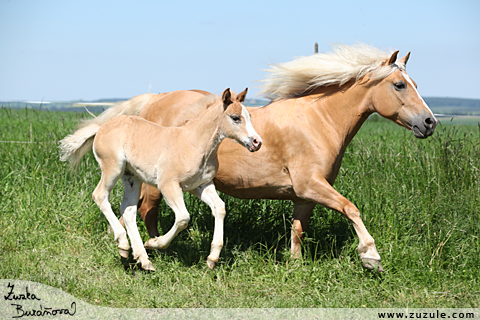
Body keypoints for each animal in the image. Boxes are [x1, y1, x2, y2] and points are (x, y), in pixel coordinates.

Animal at [61, 88, 262, 270]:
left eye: (250, 116)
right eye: (235, 118)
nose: (257, 142)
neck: (194, 143)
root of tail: (101, 127)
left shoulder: (201, 185)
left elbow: (219, 208)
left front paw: (212, 258)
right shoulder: (168, 185)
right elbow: (183, 218)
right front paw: (154, 243)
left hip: (132, 177)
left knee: (128, 210)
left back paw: (142, 259)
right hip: (113, 168)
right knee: (100, 196)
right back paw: (124, 244)